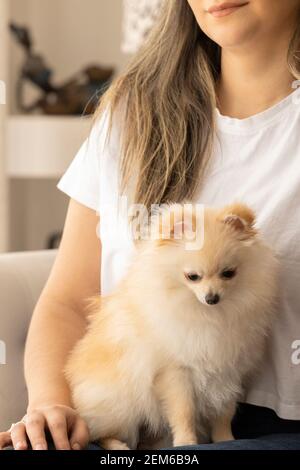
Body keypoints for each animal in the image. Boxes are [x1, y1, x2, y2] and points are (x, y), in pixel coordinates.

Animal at [65, 201, 278, 448]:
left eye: (228, 273)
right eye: (193, 276)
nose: (212, 298)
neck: (209, 315)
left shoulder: (228, 371)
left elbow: (224, 412)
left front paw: (226, 439)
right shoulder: (175, 372)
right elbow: (183, 411)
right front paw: (186, 442)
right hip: (121, 403)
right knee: (101, 433)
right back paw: (118, 444)